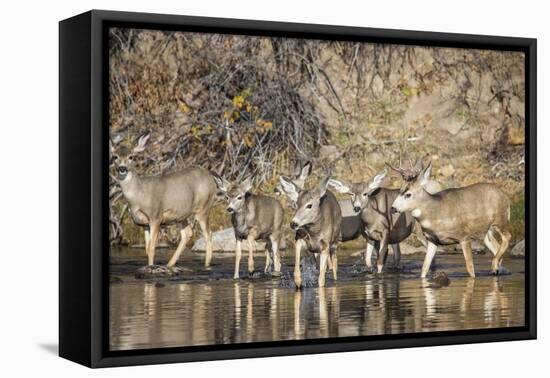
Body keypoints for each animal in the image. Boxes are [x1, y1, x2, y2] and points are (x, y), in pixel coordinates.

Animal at [111, 134, 219, 268]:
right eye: (115, 156)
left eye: (131, 156)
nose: (122, 168)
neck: (138, 195)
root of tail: (210, 176)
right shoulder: (143, 223)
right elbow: (146, 249)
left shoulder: (156, 217)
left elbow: (152, 248)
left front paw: (151, 267)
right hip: (181, 215)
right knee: (187, 233)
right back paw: (170, 264)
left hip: (203, 207)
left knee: (208, 233)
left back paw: (206, 265)